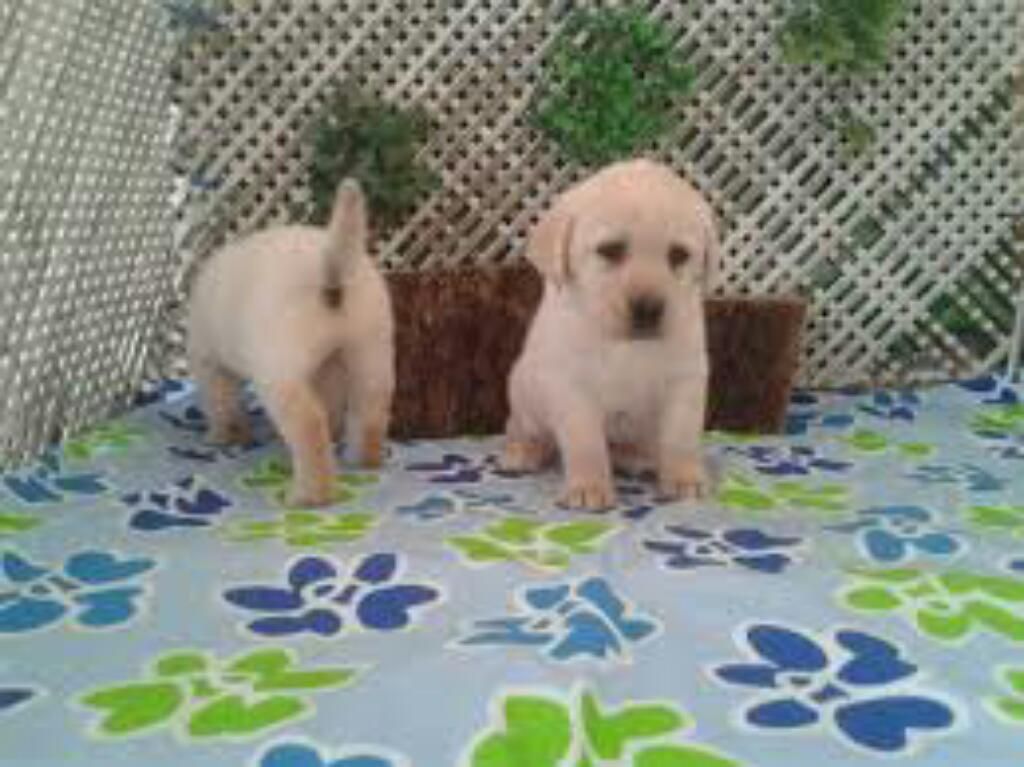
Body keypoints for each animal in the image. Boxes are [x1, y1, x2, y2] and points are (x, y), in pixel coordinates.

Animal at [186, 176, 393, 505]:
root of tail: (329, 266)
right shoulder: (328, 370)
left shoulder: (209, 363)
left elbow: (222, 405)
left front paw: (224, 437)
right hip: (372, 355)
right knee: (371, 412)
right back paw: (363, 459)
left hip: (279, 372)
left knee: (309, 426)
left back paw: (311, 495)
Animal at [501, 156, 720, 507]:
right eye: (610, 250)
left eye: (679, 255)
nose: (648, 309)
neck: (624, 345)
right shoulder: (572, 385)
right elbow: (585, 442)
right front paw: (588, 487)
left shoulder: (685, 378)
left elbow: (681, 437)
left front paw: (685, 478)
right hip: (522, 388)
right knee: (525, 428)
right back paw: (522, 451)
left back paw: (635, 457)